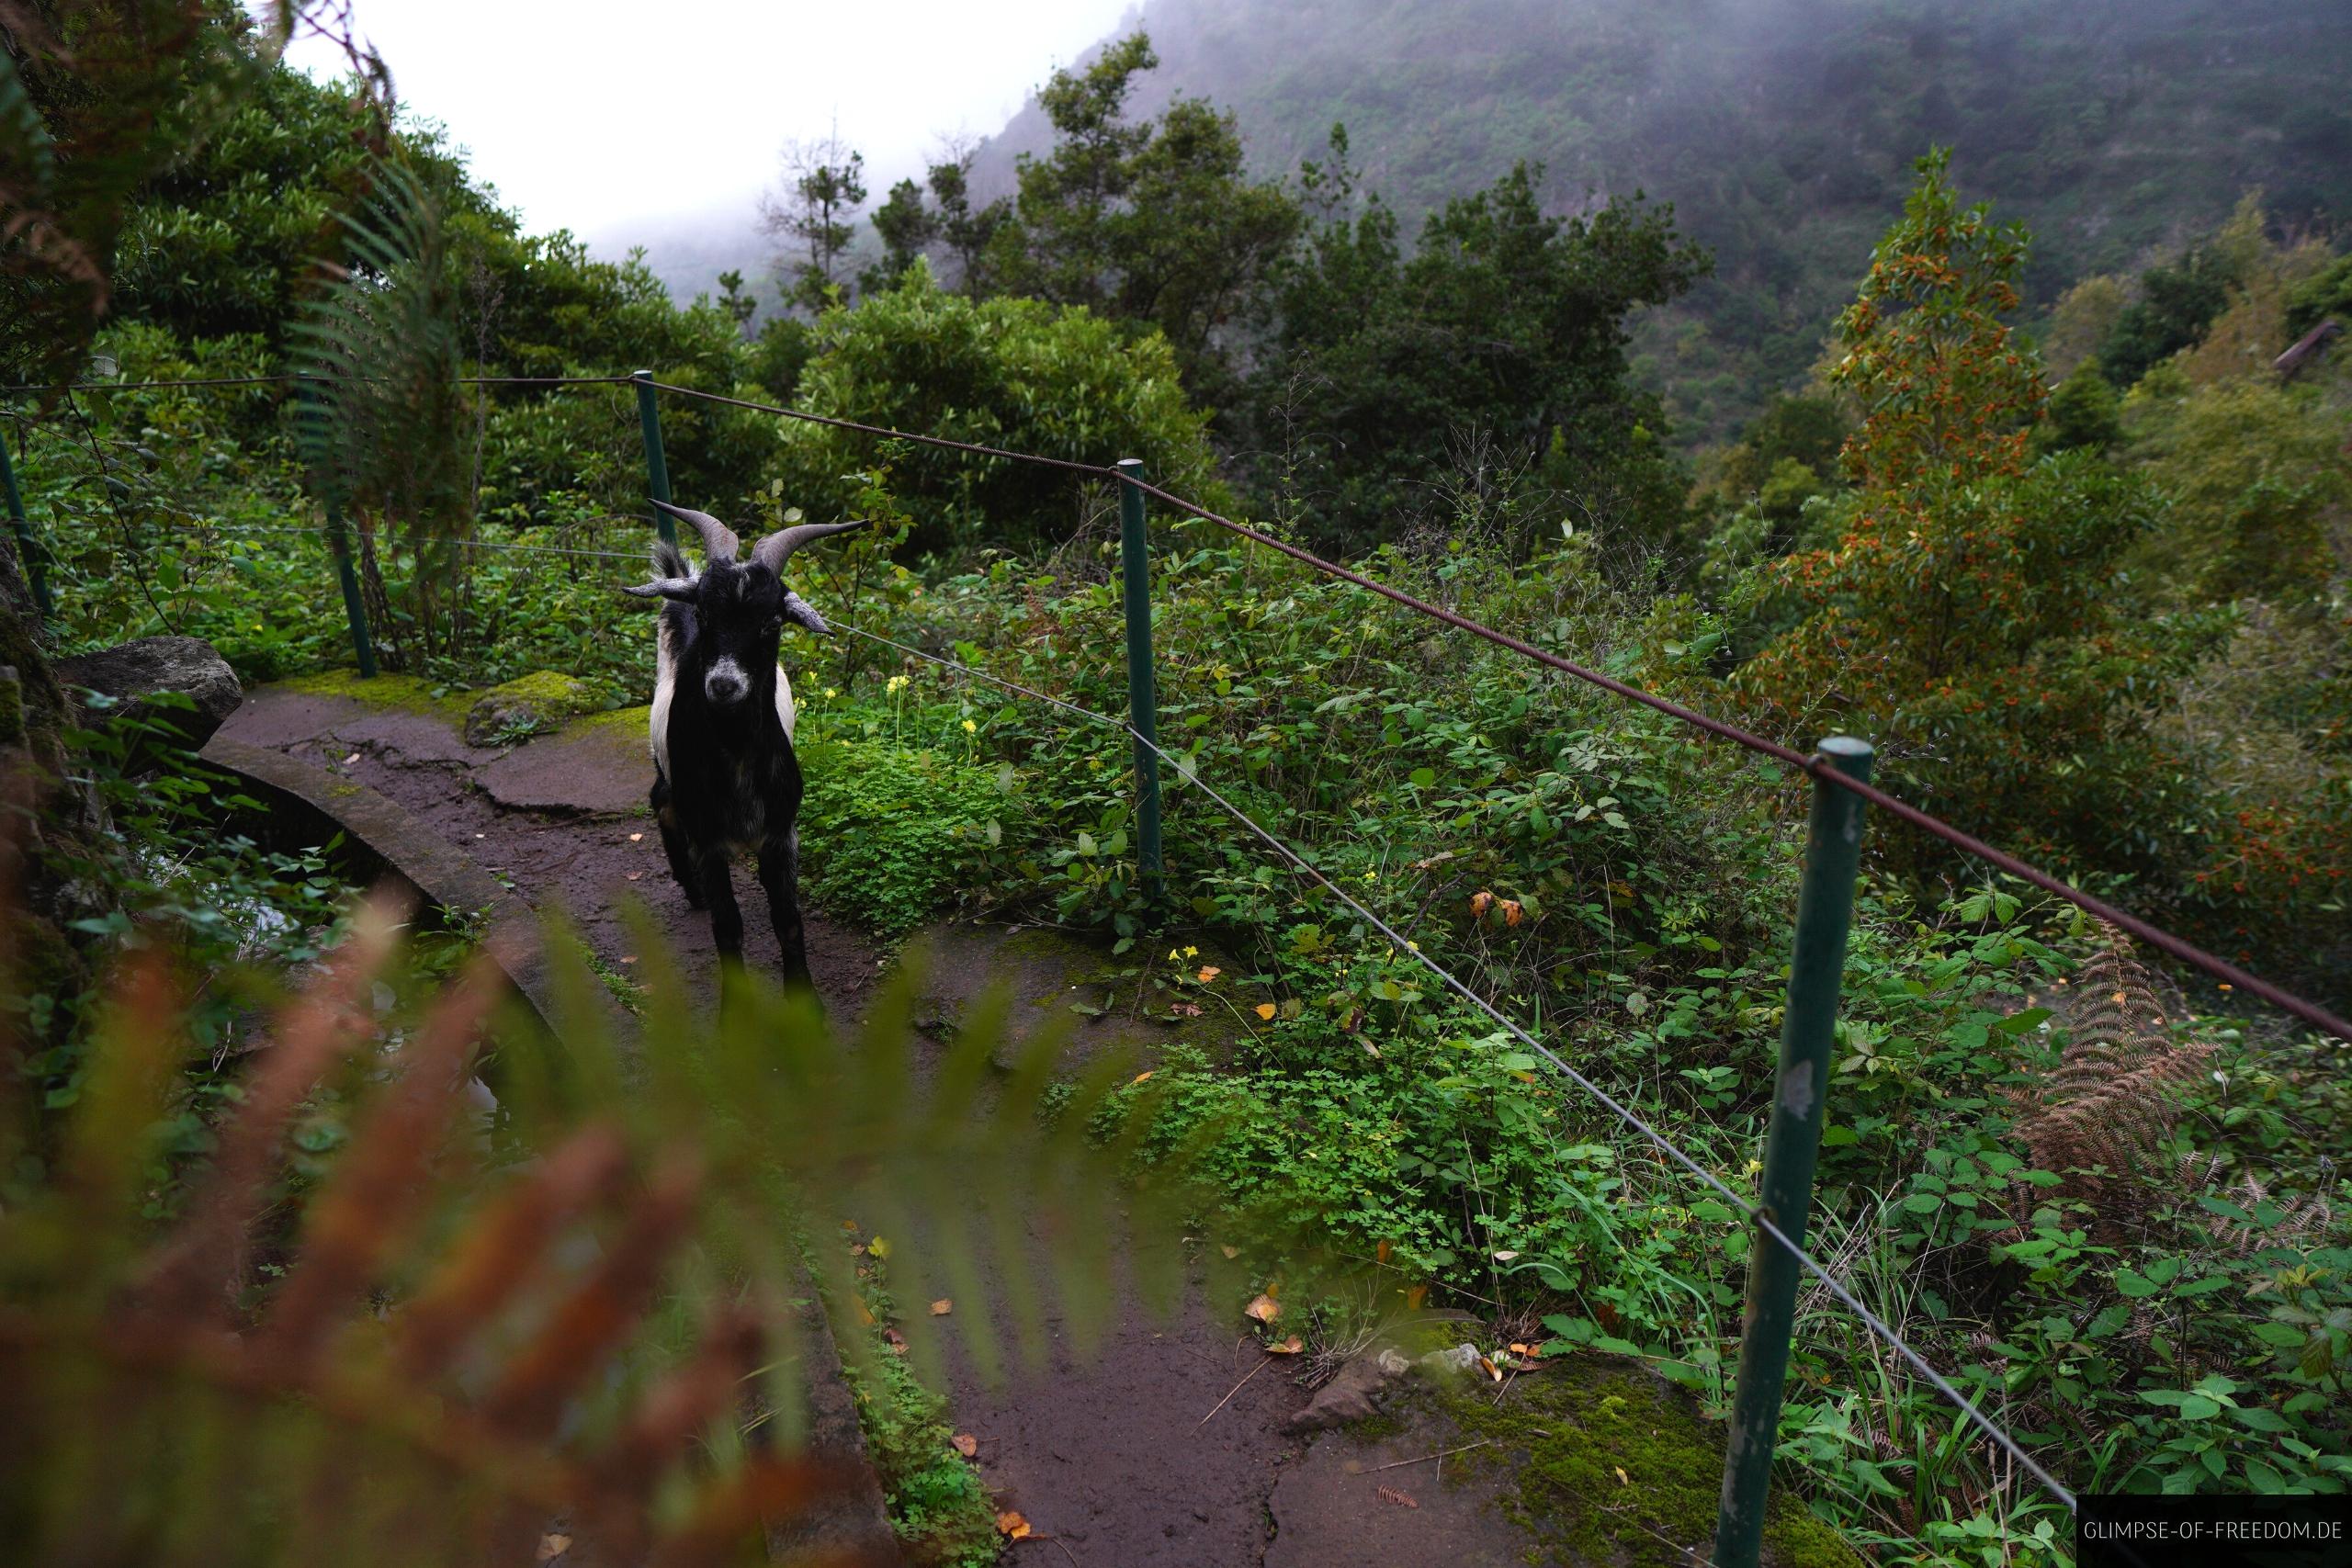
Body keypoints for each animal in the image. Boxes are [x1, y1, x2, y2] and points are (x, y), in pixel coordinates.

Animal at [622, 499, 863, 988]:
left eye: (772, 621)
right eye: (704, 614)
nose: (724, 685)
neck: (735, 756)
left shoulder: (781, 834)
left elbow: (787, 920)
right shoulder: (708, 842)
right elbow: (727, 927)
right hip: (664, 767)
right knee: (660, 799)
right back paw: (691, 888)